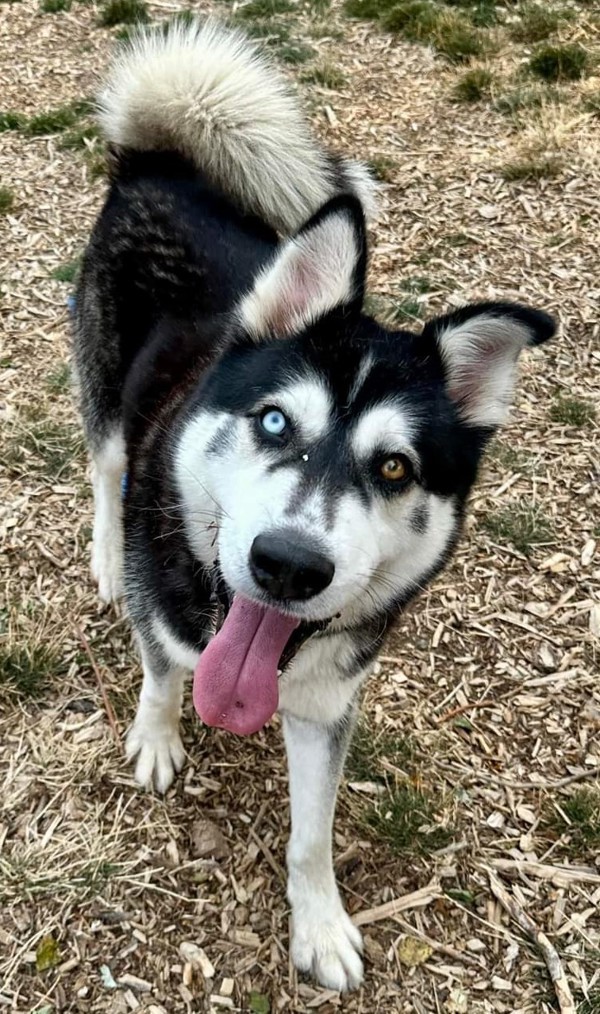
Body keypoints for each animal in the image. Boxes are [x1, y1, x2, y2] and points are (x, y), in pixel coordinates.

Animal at [75, 21, 559, 989]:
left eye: (397, 468)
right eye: (272, 421)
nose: (288, 566)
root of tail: (161, 166)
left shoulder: (330, 706)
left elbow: (311, 835)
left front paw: (322, 924)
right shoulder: (166, 612)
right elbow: (159, 671)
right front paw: (157, 737)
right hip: (108, 399)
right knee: (106, 469)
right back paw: (107, 553)